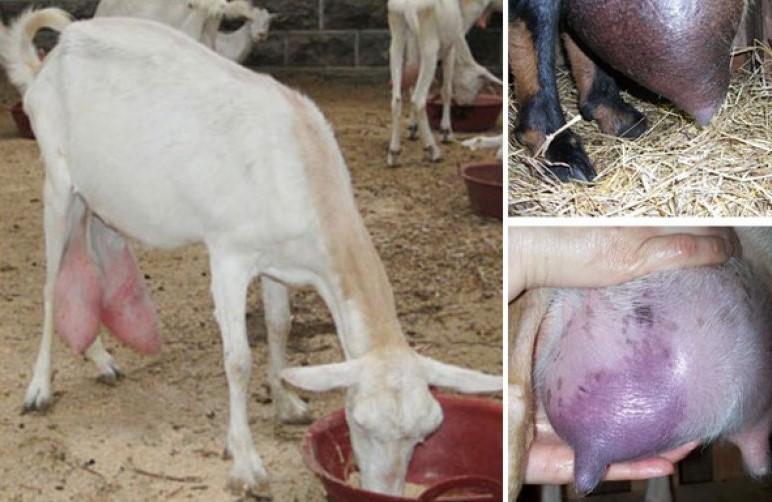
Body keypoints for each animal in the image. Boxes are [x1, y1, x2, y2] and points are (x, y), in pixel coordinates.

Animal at [387, 0, 502, 167]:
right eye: (479, 85)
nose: (466, 105)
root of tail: (407, 6)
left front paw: (413, 128)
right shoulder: (453, 42)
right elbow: (446, 90)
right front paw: (446, 131)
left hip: (397, 38)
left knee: (396, 99)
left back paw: (394, 152)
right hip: (430, 45)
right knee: (418, 100)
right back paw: (432, 150)